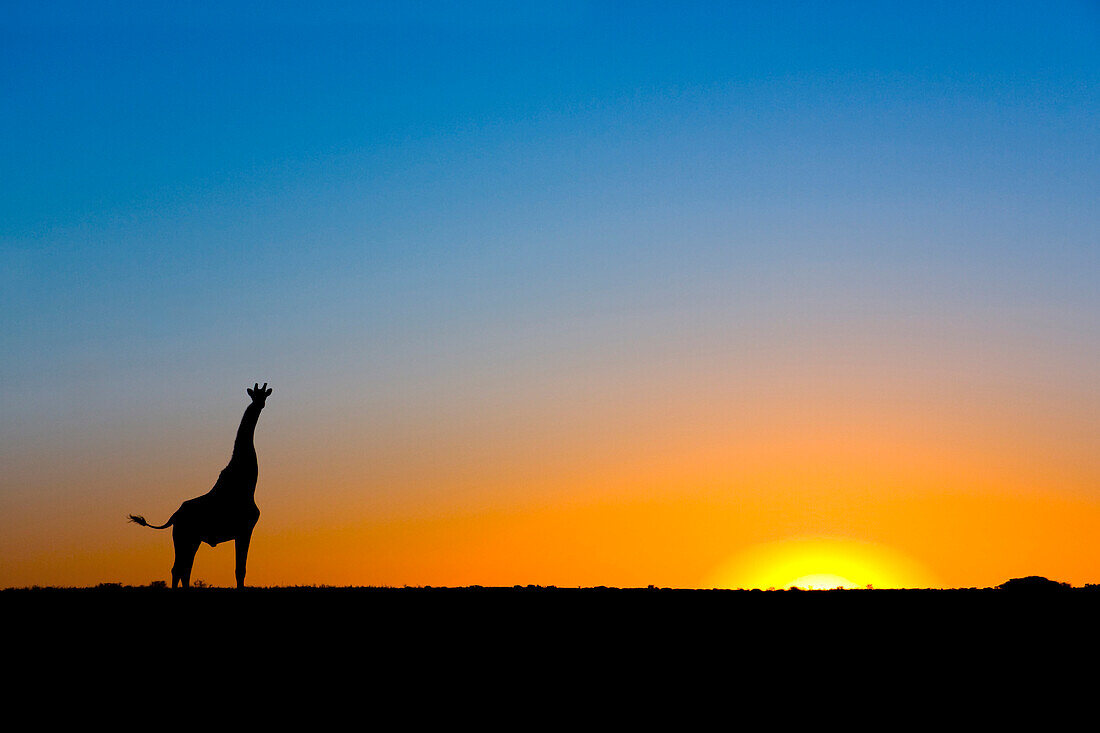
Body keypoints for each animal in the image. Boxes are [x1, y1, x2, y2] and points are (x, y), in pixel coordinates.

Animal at [130, 385, 272, 585]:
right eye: (255, 396)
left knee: (183, 568)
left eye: (263, 396)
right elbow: (240, 570)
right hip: (184, 536)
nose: (260, 404)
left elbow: (239, 569)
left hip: (191, 539)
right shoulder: (245, 529)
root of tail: (174, 516)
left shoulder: (242, 531)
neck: (246, 483)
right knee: (179, 568)